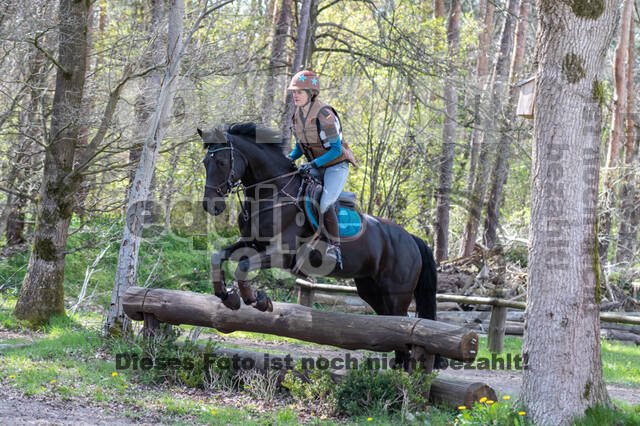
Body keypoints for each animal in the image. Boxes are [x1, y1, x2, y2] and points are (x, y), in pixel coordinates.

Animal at [199, 122, 440, 366]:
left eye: (221, 162)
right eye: (205, 163)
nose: (211, 206)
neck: (272, 194)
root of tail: (411, 239)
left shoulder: (280, 253)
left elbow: (244, 267)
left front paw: (258, 300)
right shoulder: (251, 243)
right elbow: (218, 256)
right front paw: (228, 296)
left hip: (396, 293)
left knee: (404, 326)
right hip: (371, 289)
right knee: (396, 331)